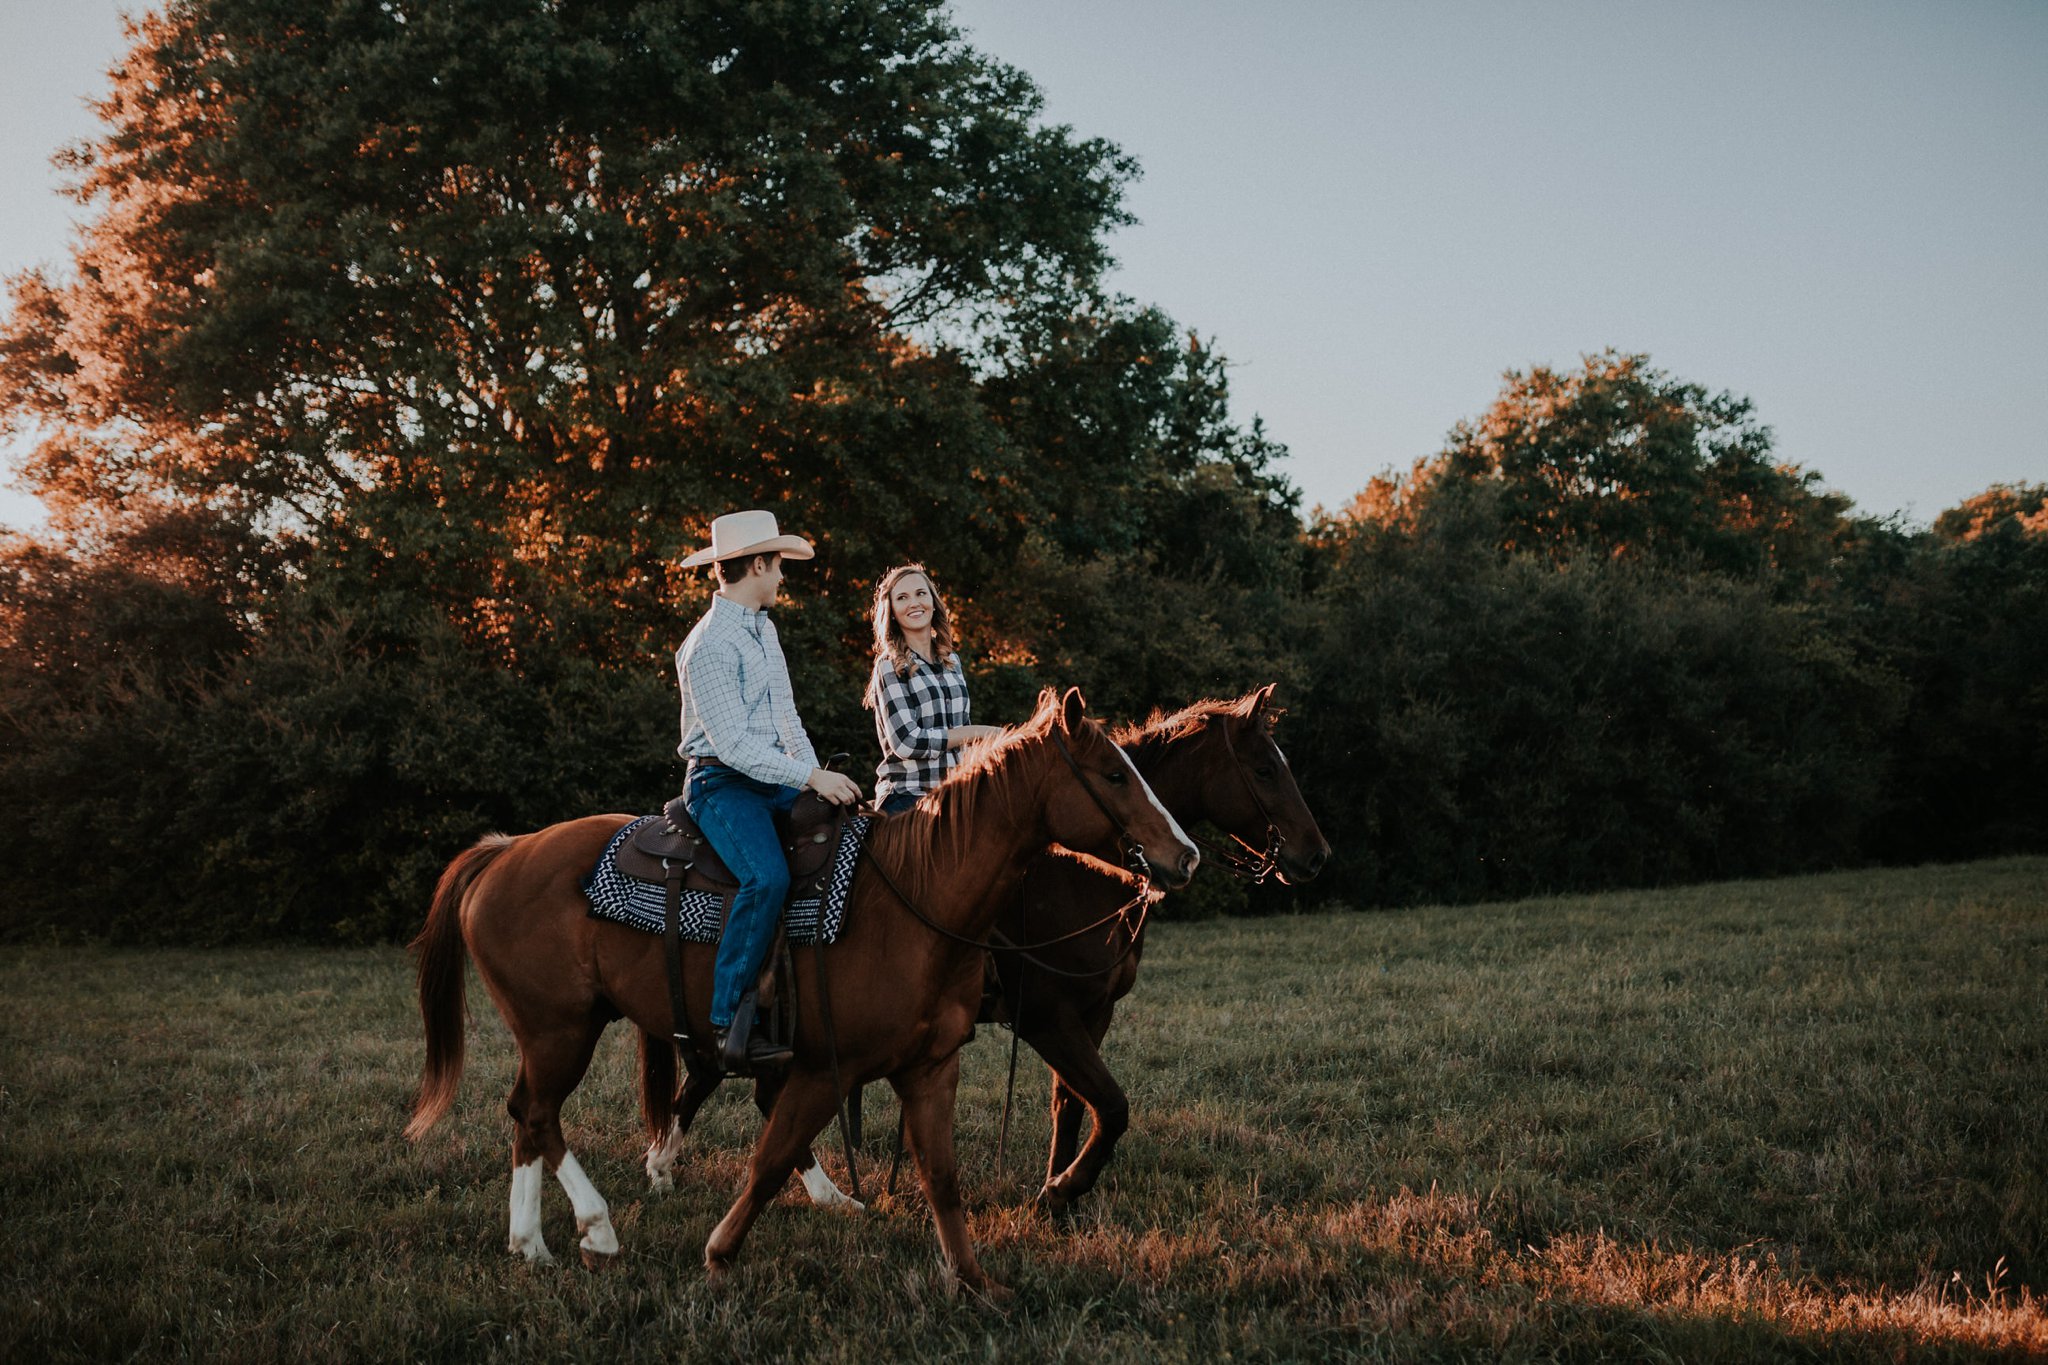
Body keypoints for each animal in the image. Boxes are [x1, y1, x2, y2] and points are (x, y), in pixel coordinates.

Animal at [401, 687, 1196, 1301]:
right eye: (1113, 774)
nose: (1182, 855)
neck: (915, 899)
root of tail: (506, 850)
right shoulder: (820, 1069)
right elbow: (770, 1159)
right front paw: (720, 1253)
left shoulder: (931, 1068)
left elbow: (942, 1177)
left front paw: (976, 1281)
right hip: (559, 1027)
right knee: (538, 1113)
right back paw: (586, 1230)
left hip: (562, 1029)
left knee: (527, 1115)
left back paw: (537, 1241)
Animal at [630, 687, 1327, 1211]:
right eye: (1264, 769)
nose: (1315, 855)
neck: (1072, 874)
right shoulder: (1045, 1017)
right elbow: (1112, 1105)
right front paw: (1064, 1189)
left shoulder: (1091, 1014)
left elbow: (1072, 1106)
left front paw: (1056, 1194)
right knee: (730, 1074)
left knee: (721, 1075)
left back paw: (675, 1168)